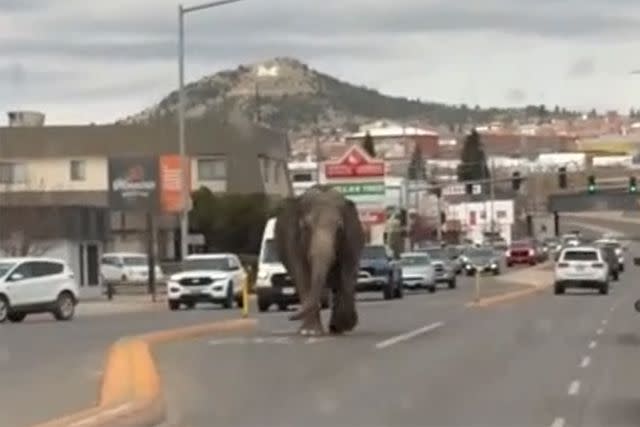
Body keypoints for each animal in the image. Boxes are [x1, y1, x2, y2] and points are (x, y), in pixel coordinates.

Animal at [276, 186, 364, 336]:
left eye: (339, 228)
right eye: (306, 227)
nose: (289, 316)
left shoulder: (351, 239)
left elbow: (347, 274)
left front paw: (341, 325)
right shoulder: (293, 243)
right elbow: (302, 276)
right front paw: (309, 332)